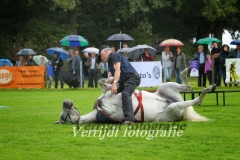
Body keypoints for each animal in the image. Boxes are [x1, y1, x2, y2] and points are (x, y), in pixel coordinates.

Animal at [55, 67, 217, 124]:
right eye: (63, 117)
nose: (65, 102)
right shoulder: (115, 114)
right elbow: (102, 103)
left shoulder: (107, 93)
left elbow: (103, 88)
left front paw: (109, 80)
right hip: (174, 107)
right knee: (195, 99)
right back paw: (208, 89)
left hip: (165, 87)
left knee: (188, 87)